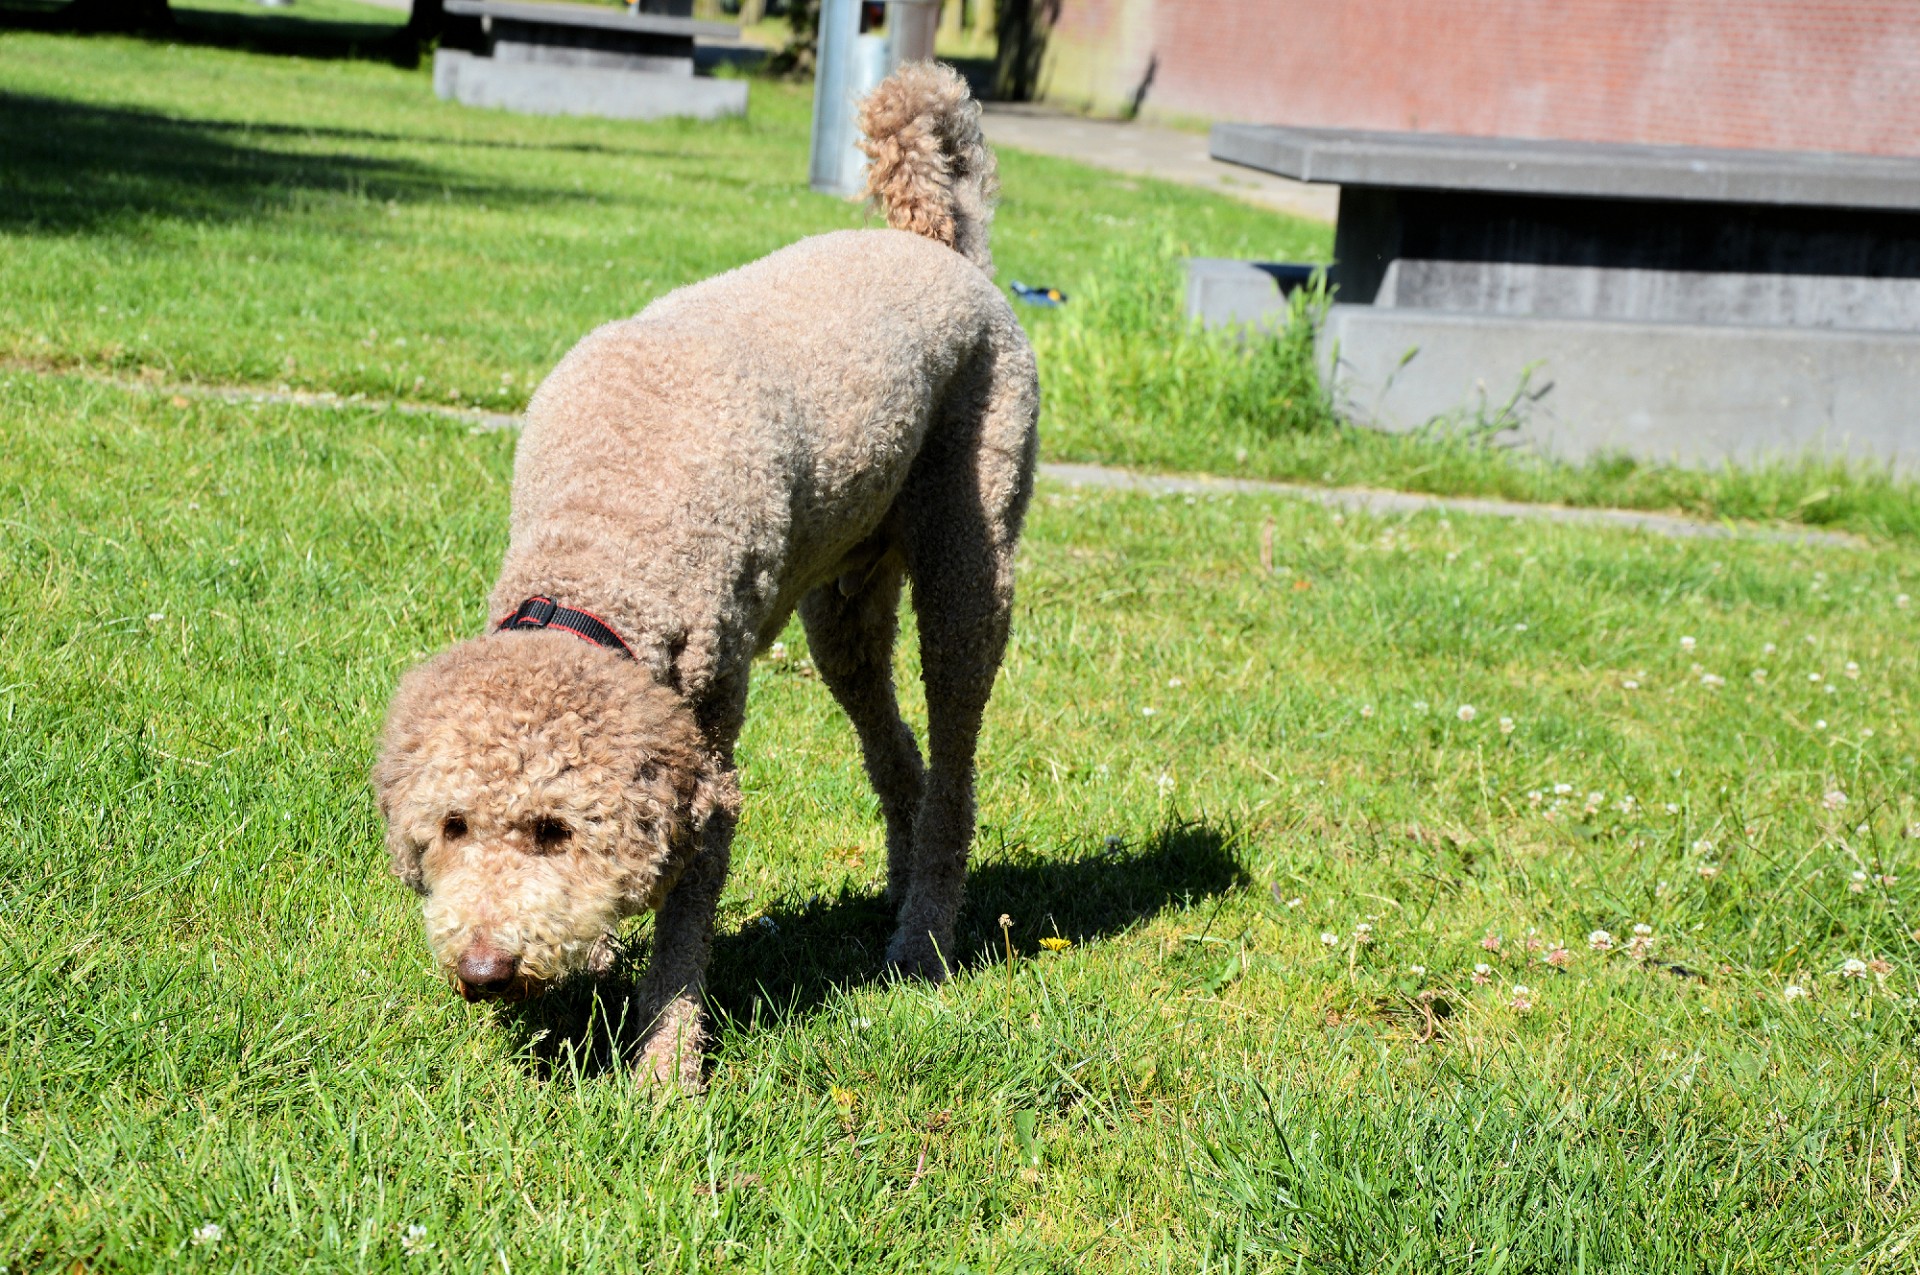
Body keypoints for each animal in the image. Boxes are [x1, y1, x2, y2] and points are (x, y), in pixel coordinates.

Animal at [368, 64, 1044, 1090]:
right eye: (452, 825)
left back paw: (923, 939)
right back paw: (896, 888)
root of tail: (935, 240)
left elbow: (687, 917)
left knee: (957, 765)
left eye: (553, 829)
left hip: (970, 568)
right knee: (898, 755)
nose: (483, 970)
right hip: (843, 609)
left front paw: (666, 1075)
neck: (599, 553)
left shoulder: (712, 745)